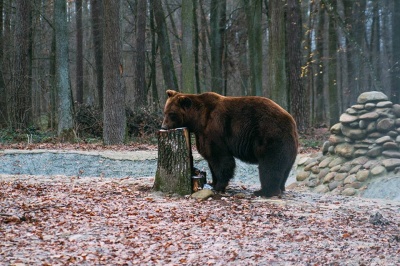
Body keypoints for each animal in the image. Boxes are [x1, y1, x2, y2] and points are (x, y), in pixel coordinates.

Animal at [161, 90, 298, 196]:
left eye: (172, 114)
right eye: (165, 111)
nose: (163, 127)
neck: (197, 120)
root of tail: (292, 121)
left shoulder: (214, 130)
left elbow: (220, 158)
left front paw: (219, 186)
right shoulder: (202, 134)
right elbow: (211, 159)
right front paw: (213, 182)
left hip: (270, 136)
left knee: (270, 165)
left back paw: (264, 191)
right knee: (284, 168)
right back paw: (280, 187)